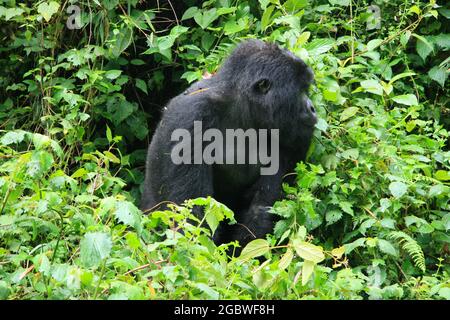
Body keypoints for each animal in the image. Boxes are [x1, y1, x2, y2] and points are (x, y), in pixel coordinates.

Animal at [141, 39, 316, 248]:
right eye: (300, 91)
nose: (312, 109)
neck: (242, 108)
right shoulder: (190, 116)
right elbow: (191, 216)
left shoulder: (295, 132)